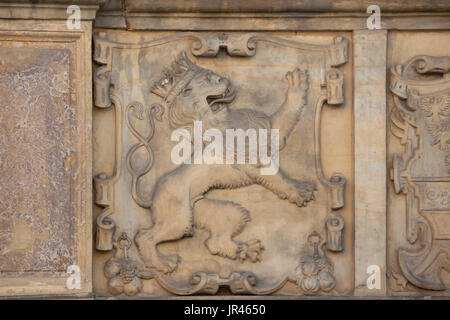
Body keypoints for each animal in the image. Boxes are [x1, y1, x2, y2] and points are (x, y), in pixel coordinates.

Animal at [134, 52, 316, 272]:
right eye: (206, 80)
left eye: (213, 75)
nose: (222, 79)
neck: (219, 120)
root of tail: (152, 197)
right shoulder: (250, 160)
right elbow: (279, 179)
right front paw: (300, 191)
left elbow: (285, 117)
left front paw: (297, 84)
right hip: (176, 218)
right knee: (144, 236)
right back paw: (163, 263)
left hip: (212, 210)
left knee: (215, 241)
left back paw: (245, 250)